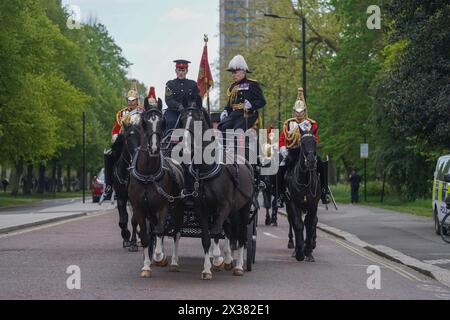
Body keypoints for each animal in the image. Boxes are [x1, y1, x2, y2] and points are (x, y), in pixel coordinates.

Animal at [126, 101, 185, 276]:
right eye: (144, 122)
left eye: (162, 122)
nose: (154, 149)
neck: (147, 175)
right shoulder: (139, 209)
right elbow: (146, 236)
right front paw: (146, 266)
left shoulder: (162, 207)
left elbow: (160, 231)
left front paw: (160, 257)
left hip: (178, 208)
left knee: (176, 233)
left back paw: (174, 262)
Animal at [178, 105, 255, 280]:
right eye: (182, 119)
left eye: (198, 120)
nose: (184, 149)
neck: (207, 169)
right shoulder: (202, 209)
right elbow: (207, 238)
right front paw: (207, 269)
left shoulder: (224, 206)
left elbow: (216, 232)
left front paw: (218, 259)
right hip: (232, 211)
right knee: (230, 231)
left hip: (244, 208)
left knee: (241, 234)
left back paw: (238, 266)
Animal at [284, 130, 320, 262]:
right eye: (303, 143)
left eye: (315, 142)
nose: (311, 161)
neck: (305, 181)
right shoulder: (294, 203)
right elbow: (298, 224)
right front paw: (300, 252)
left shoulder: (313, 205)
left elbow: (310, 224)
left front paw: (308, 251)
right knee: (292, 221)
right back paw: (294, 246)